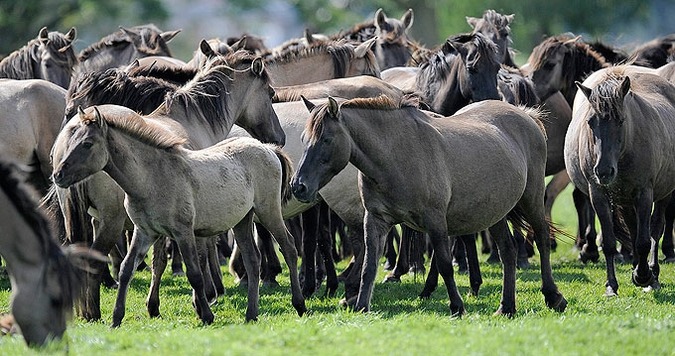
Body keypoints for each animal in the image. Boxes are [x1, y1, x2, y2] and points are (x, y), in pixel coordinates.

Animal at [54, 53, 284, 322]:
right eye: (270, 93)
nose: (279, 138)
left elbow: (159, 261)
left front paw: (155, 305)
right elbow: (200, 255)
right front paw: (206, 297)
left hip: (84, 219)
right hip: (110, 222)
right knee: (93, 262)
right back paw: (93, 311)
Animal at [564, 65, 675, 296]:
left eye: (621, 121)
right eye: (590, 122)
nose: (604, 171)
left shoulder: (644, 193)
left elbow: (644, 240)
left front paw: (644, 276)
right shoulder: (598, 195)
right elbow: (609, 242)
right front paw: (611, 286)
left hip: (663, 193)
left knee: (656, 229)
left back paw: (652, 274)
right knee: (633, 230)